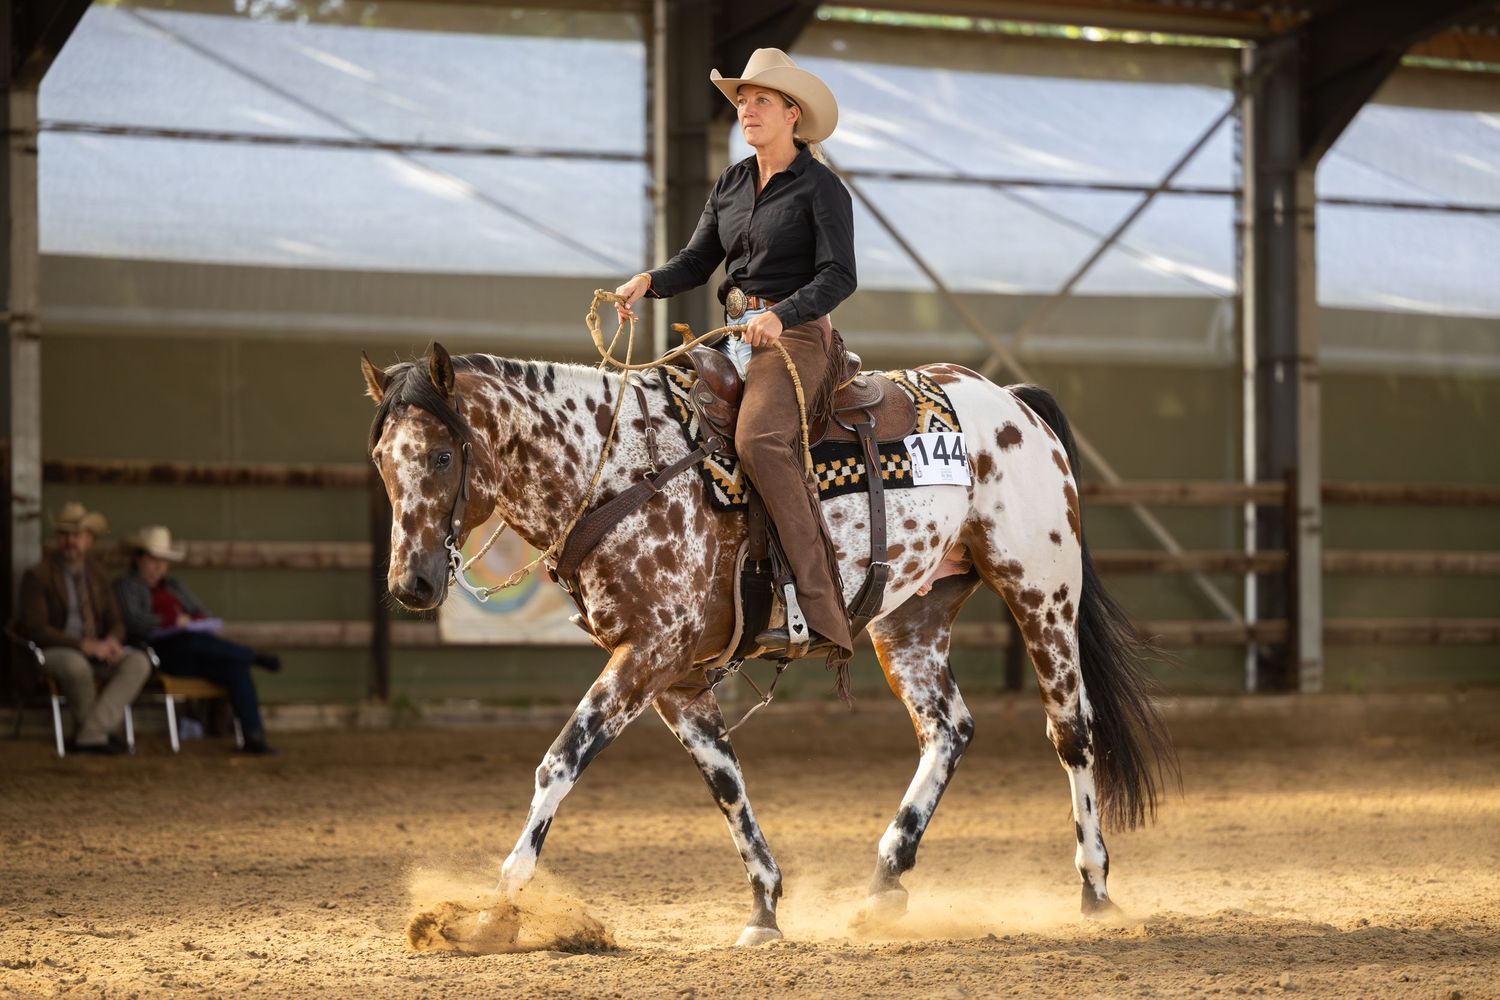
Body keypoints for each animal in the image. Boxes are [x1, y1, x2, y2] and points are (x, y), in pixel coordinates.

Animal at [361, 341, 1175, 946]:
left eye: (441, 457)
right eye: (382, 462)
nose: (412, 583)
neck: (619, 470)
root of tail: (1012, 402)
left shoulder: (646, 656)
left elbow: (558, 764)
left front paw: (496, 911)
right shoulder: (678, 678)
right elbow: (725, 783)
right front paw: (765, 908)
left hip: (1041, 592)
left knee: (1071, 732)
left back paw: (1095, 888)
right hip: (911, 621)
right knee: (949, 729)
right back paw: (885, 879)